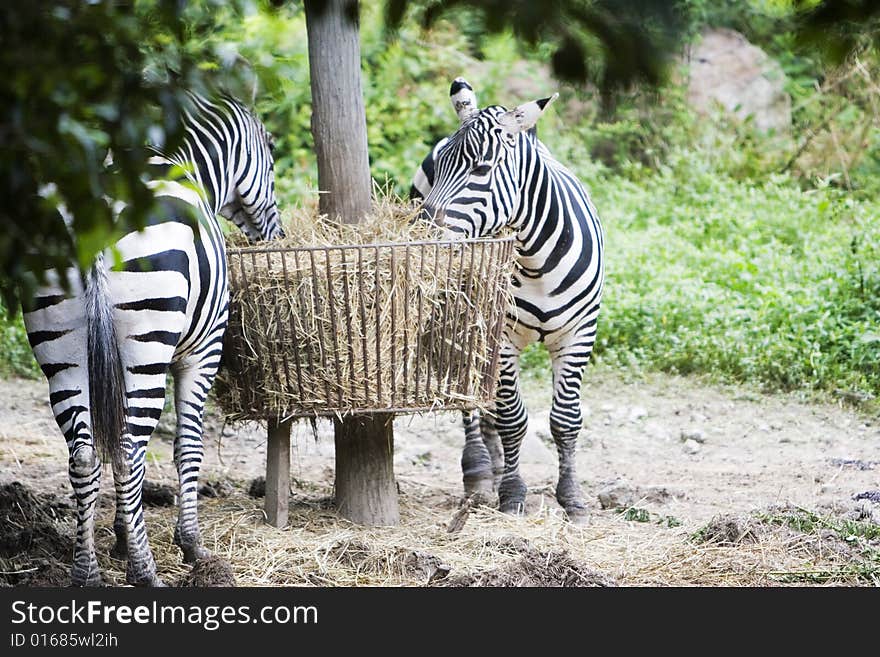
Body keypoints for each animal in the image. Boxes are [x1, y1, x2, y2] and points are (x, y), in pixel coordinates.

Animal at [23, 92, 282, 584]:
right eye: (272, 154)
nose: (276, 237)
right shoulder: (203, 351)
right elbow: (188, 445)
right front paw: (190, 545)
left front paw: (123, 539)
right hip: (147, 349)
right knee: (128, 451)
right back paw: (145, 572)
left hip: (62, 354)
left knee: (86, 455)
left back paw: (86, 572)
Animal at [412, 78, 604, 524]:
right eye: (441, 166)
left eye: (481, 169)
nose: (421, 237)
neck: (537, 259)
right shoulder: (502, 336)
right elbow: (513, 418)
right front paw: (513, 494)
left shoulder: (579, 333)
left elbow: (565, 419)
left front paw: (572, 499)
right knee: (470, 396)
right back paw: (480, 472)